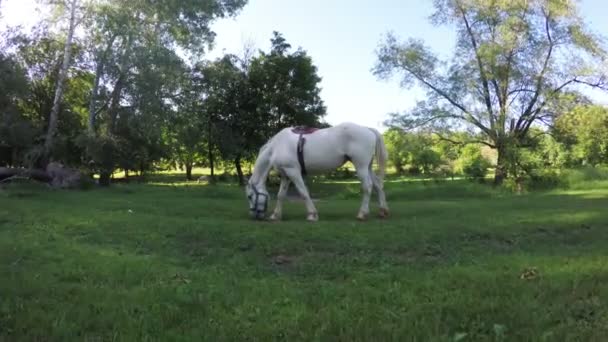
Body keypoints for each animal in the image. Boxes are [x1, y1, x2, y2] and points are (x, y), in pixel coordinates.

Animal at [246, 123, 390, 222]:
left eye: (249, 196)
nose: (254, 215)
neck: (276, 147)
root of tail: (368, 129)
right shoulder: (286, 175)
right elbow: (281, 195)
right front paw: (276, 215)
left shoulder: (293, 172)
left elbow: (303, 192)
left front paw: (312, 214)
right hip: (367, 167)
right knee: (378, 185)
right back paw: (383, 211)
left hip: (361, 166)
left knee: (368, 187)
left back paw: (362, 213)